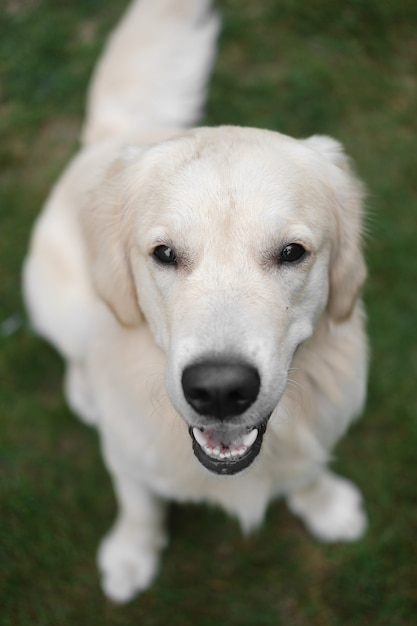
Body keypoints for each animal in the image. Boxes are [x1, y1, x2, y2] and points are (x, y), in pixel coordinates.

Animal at [23, 0, 368, 604]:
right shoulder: (127, 451)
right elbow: (138, 503)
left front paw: (324, 505)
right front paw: (131, 554)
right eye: (164, 253)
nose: (220, 390)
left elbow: (306, 469)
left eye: (292, 252)